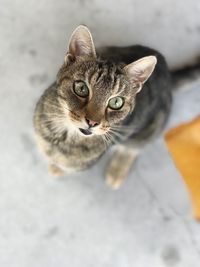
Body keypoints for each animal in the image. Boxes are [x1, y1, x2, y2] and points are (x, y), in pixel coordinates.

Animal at [33, 24, 171, 188]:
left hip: (150, 129)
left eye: (116, 102)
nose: (92, 122)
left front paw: (56, 168)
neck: (64, 137)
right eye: (81, 88)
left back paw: (117, 170)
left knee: (133, 148)